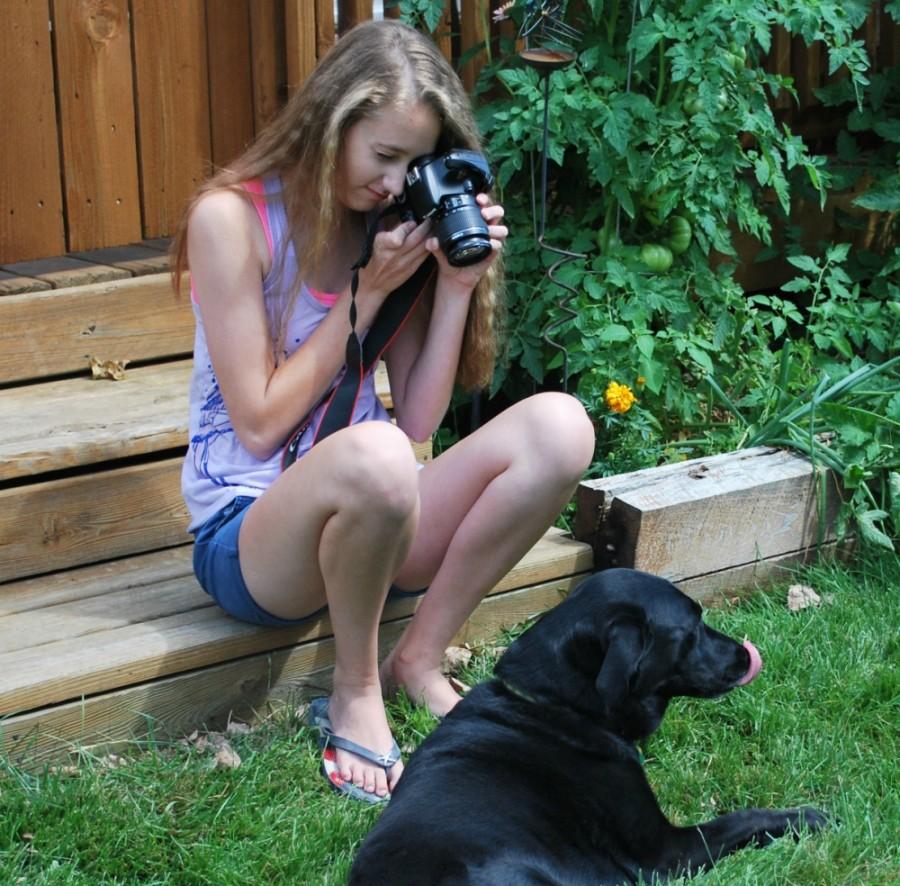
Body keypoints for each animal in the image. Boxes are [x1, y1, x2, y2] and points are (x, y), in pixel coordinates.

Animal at [348, 568, 828, 886]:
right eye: (692, 627)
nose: (747, 655)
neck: (555, 704)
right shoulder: (665, 850)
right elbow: (741, 819)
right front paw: (807, 815)